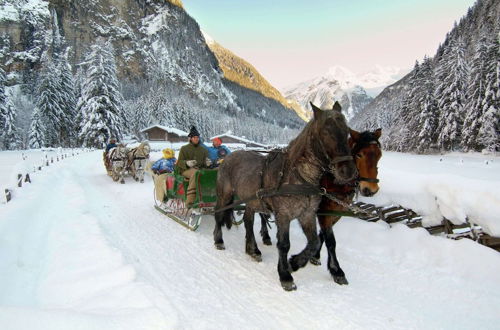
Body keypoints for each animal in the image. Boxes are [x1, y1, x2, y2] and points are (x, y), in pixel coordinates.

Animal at [213, 102, 358, 290]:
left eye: (346, 131)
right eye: (326, 132)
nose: (348, 171)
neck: (299, 177)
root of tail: (230, 155)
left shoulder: (307, 215)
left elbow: (314, 243)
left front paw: (295, 263)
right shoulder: (283, 215)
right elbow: (284, 244)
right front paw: (285, 275)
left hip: (252, 202)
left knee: (248, 221)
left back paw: (253, 250)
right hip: (225, 195)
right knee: (218, 214)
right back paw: (219, 240)